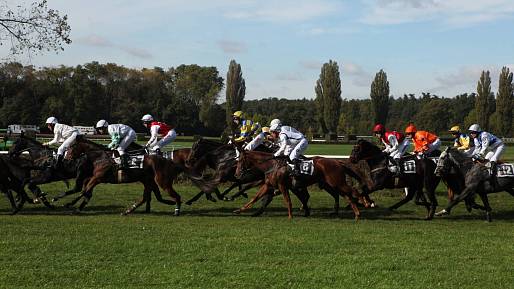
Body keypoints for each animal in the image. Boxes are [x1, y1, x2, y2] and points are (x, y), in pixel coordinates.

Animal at [232, 151, 364, 218]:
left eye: (240, 160)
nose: (237, 174)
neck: (272, 165)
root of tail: (337, 161)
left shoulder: (282, 185)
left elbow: (288, 200)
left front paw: (290, 216)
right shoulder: (268, 185)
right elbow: (255, 198)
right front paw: (239, 210)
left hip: (336, 182)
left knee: (353, 191)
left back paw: (363, 203)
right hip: (332, 184)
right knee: (346, 195)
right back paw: (356, 213)